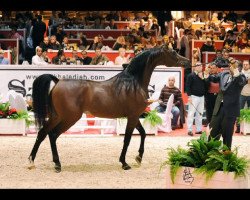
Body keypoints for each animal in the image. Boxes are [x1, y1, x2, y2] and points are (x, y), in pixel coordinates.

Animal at [27, 45, 189, 172]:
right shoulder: (133, 116)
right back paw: (57, 164)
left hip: (57, 116)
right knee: (53, 135)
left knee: (42, 133)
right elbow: (127, 139)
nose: (187, 62)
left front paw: (138, 157)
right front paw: (124, 163)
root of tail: (57, 82)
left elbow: (143, 134)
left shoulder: (135, 116)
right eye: (173, 53)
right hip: (70, 118)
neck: (133, 82)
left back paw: (31, 161)